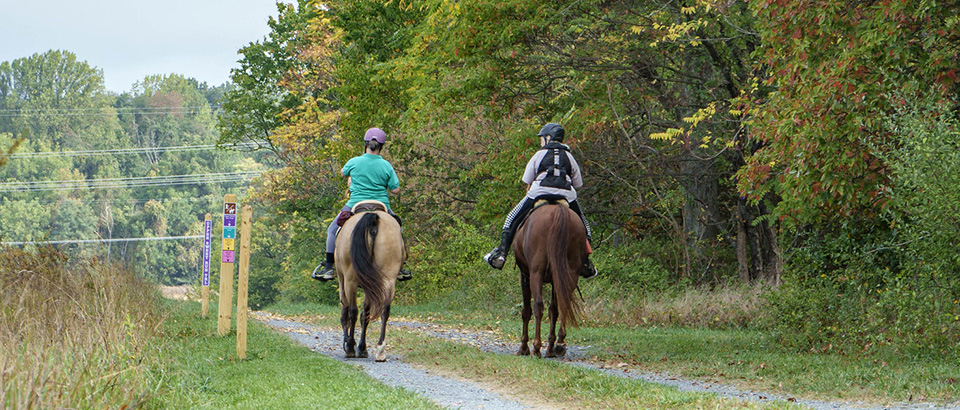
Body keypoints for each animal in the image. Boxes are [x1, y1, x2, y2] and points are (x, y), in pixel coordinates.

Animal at [334, 201, 404, 362]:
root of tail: (373, 216)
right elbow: (365, 315)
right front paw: (362, 348)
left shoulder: (343, 281)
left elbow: (347, 312)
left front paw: (351, 345)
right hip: (388, 279)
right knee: (385, 310)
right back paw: (380, 350)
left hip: (350, 280)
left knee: (352, 311)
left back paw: (350, 348)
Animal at [512, 200, 586, 358]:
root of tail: (559, 211)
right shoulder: (555, 279)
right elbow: (554, 310)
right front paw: (551, 346)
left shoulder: (525, 275)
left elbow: (526, 311)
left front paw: (524, 347)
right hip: (570, 273)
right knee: (564, 303)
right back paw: (558, 345)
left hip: (536, 273)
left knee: (538, 306)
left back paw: (536, 348)